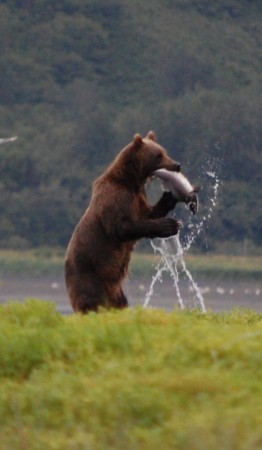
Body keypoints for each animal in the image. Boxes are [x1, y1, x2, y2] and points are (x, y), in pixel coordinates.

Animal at [64, 131, 181, 312]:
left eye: (165, 151)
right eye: (158, 155)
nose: (177, 165)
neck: (131, 181)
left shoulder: (139, 197)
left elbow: (150, 213)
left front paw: (170, 197)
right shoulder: (116, 198)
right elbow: (122, 227)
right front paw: (169, 225)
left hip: (116, 290)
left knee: (120, 304)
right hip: (90, 277)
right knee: (91, 304)